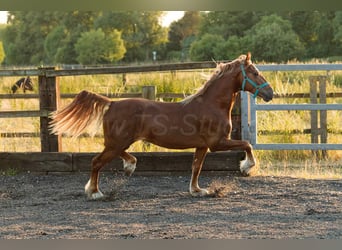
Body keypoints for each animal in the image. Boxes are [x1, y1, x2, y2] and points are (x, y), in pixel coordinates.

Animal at [49, 52, 274, 199]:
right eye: (254, 72)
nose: (270, 93)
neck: (211, 104)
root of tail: (111, 103)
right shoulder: (217, 143)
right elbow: (247, 144)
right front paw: (246, 167)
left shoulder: (202, 146)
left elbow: (196, 167)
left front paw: (197, 190)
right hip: (116, 143)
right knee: (96, 162)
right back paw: (95, 192)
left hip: (119, 142)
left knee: (116, 155)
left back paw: (129, 166)